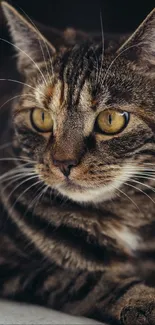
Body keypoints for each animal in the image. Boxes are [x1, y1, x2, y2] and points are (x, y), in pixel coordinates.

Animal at [0, 1, 155, 322]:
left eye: (111, 120)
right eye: (41, 117)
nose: (63, 163)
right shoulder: (21, 269)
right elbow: (88, 280)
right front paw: (144, 300)